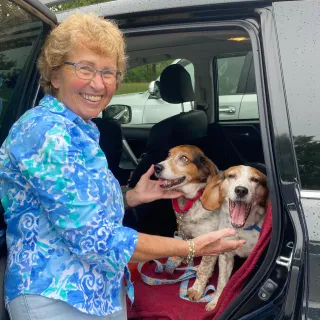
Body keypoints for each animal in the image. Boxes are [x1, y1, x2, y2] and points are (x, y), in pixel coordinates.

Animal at [201, 165, 268, 310]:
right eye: (231, 176)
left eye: (255, 179)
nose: (241, 190)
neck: (240, 229)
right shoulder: (225, 256)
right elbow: (222, 282)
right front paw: (216, 302)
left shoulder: (253, 258)